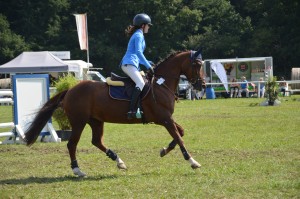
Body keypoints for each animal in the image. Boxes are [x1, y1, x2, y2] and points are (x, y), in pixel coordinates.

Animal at [24, 49, 204, 176]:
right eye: (197, 65)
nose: (201, 85)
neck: (161, 84)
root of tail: (70, 90)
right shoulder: (164, 118)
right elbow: (179, 138)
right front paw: (193, 162)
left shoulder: (166, 118)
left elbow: (180, 133)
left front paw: (164, 150)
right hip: (78, 122)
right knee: (72, 144)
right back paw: (77, 170)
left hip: (96, 121)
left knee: (96, 141)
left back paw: (119, 161)